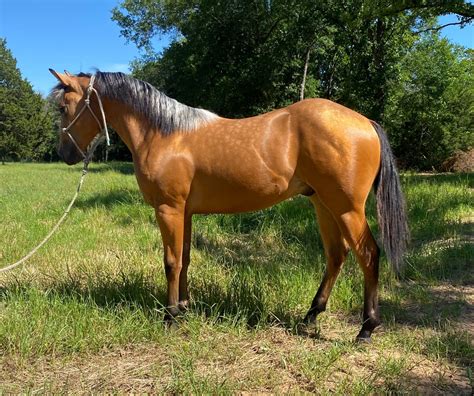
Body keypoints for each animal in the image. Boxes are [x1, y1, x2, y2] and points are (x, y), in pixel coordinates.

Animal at [50, 68, 410, 340]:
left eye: (64, 107)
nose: (65, 155)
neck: (164, 134)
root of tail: (366, 123)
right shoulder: (186, 212)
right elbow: (185, 258)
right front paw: (184, 307)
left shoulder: (168, 209)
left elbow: (171, 262)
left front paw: (170, 316)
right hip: (323, 205)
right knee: (336, 256)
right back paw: (311, 316)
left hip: (347, 209)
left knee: (368, 255)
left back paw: (366, 328)